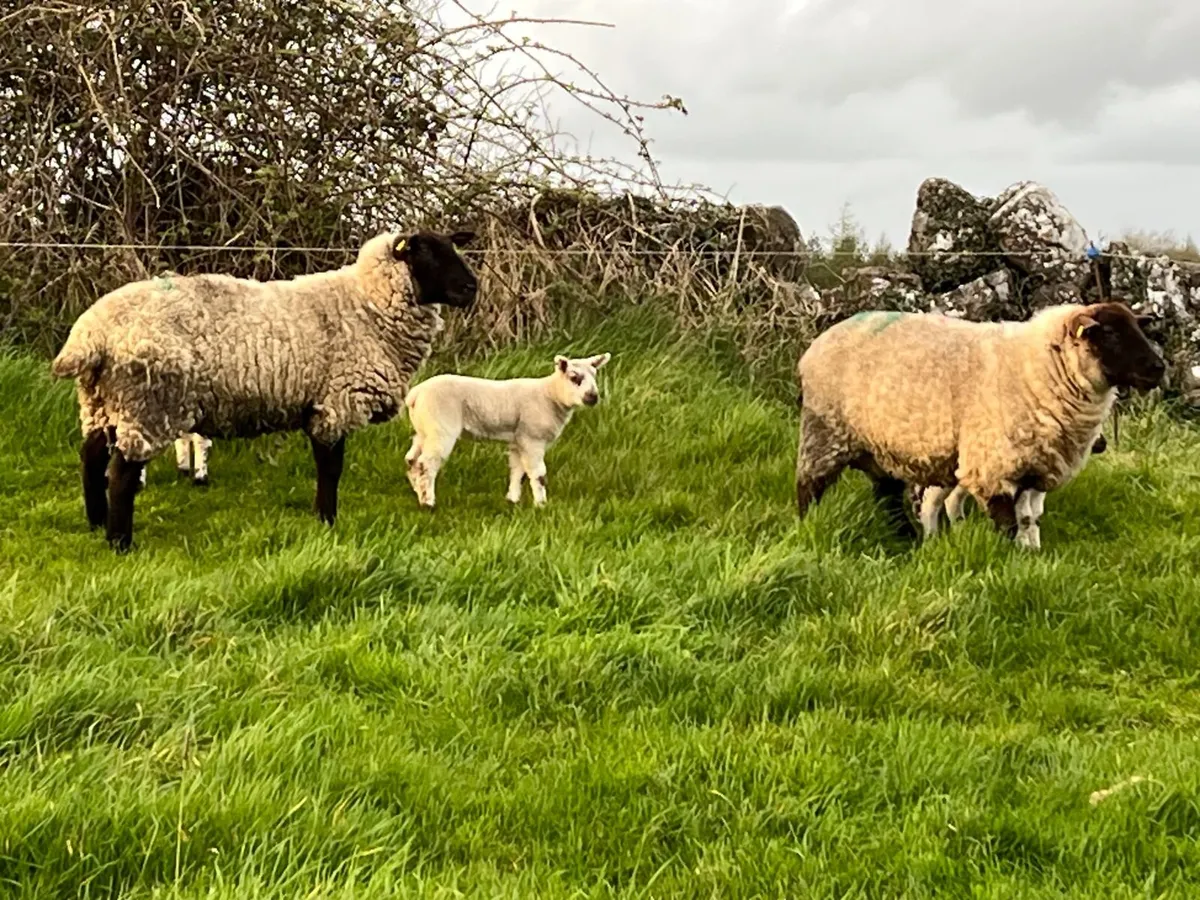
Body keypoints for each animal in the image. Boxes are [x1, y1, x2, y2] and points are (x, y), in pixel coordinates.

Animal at [51, 229, 478, 551]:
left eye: (452, 247)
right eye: (428, 254)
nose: (472, 287)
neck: (366, 305)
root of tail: (92, 332)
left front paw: (324, 517)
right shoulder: (335, 402)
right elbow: (331, 468)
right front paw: (328, 519)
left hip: (102, 402)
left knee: (91, 459)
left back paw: (96, 522)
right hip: (149, 404)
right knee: (121, 472)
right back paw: (120, 542)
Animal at [403, 352, 611, 508]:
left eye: (595, 377)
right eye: (575, 378)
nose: (593, 397)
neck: (550, 395)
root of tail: (415, 395)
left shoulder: (518, 439)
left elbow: (518, 470)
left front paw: (512, 500)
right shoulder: (532, 438)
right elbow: (538, 474)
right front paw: (541, 505)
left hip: (424, 429)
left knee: (412, 459)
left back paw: (418, 493)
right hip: (441, 427)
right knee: (426, 463)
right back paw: (428, 502)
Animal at [794, 301, 1163, 547]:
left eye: (1137, 328)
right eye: (1110, 334)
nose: (1159, 368)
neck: (1039, 367)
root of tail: (820, 341)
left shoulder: (1031, 470)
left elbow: (1027, 518)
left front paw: (1030, 555)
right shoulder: (992, 465)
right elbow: (1007, 522)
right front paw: (1007, 560)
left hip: (882, 445)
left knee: (887, 496)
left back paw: (907, 538)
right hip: (824, 431)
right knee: (809, 486)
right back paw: (807, 525)